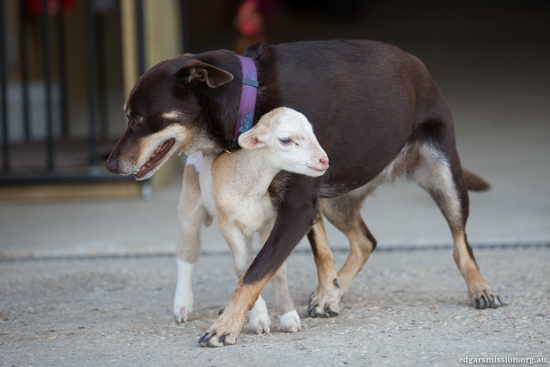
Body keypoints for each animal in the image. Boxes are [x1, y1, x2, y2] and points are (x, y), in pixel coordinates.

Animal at [175, 107, 330, 336]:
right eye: (286, 140)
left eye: (312, 133)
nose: (324, 161)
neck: (248, 182)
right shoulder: (227, 223)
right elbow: (243, 267)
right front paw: (259, 318)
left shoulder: (268, 221)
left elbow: (274, 267)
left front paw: (288, 316)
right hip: (189, 200)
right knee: (188, 248)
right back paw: (182, 306)